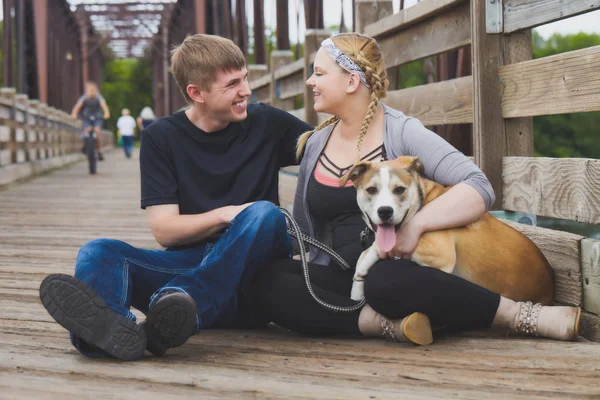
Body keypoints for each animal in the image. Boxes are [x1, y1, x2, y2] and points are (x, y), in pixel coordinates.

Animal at [340, 155, 556, 304]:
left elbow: (375, 249)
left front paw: (362, 271)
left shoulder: (440, 255)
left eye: (400, 189)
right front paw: (357, 286)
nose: (385, 211)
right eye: (371, 190)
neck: (423, 202)